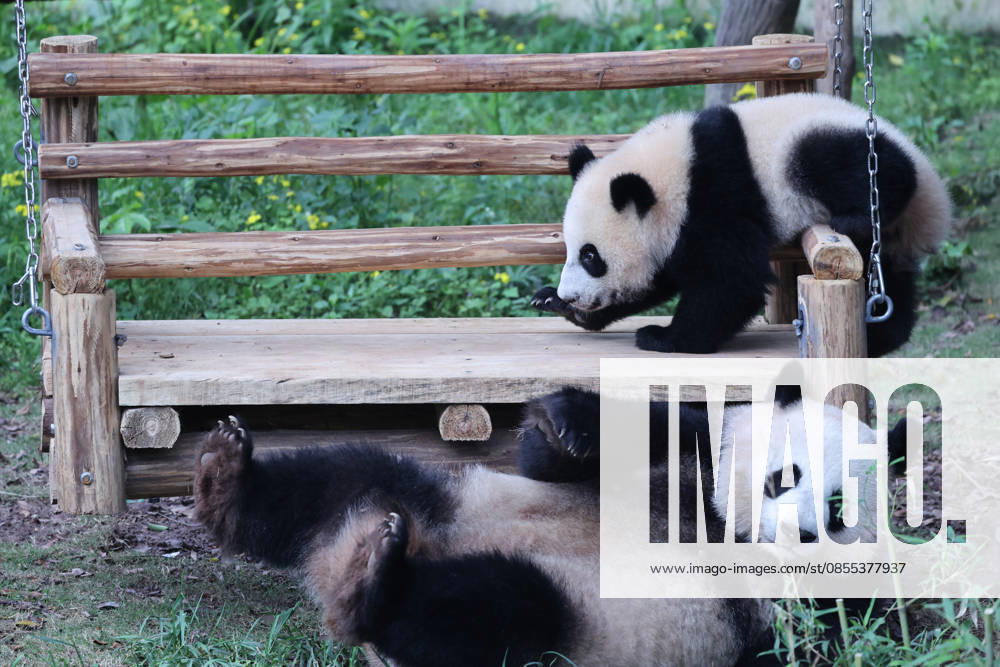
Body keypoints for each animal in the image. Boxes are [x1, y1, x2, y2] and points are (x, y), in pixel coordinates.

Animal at [194, 406, 781, 667]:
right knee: (349, 474)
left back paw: (369, 586)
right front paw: (566, 430)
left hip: (585, 621)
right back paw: (226, 479)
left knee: (500, 609)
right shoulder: (683, 460)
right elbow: (565, 460)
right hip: (455, 500)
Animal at [531, 92, 951, 356]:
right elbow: (658, 279)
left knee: (863, 168)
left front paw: (664, 337)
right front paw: (555, 303)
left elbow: (733, 279)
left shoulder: (716, 195)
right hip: (893, 241)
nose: (571, 294)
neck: (675, 172)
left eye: (591, 257)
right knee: (891, 280)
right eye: (571, 250)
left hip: (823, 146)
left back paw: (856, 217)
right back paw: (883, 336)